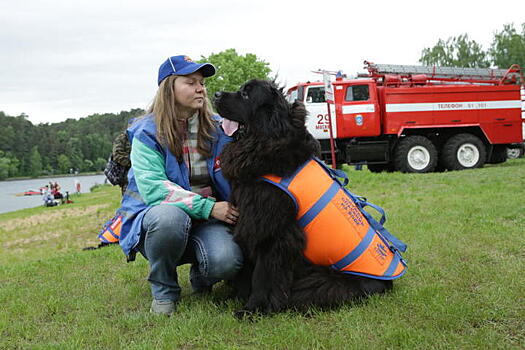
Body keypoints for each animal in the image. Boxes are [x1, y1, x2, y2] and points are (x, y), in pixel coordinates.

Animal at [213, 80, 388, 316]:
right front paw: (235, 298)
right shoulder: (248, 219)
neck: (262, 141)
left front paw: (252, 310)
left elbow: (261, 275)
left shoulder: (272, 233)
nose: (215, 94)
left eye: (246, 95)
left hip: (322, 282)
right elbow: (247, 269)